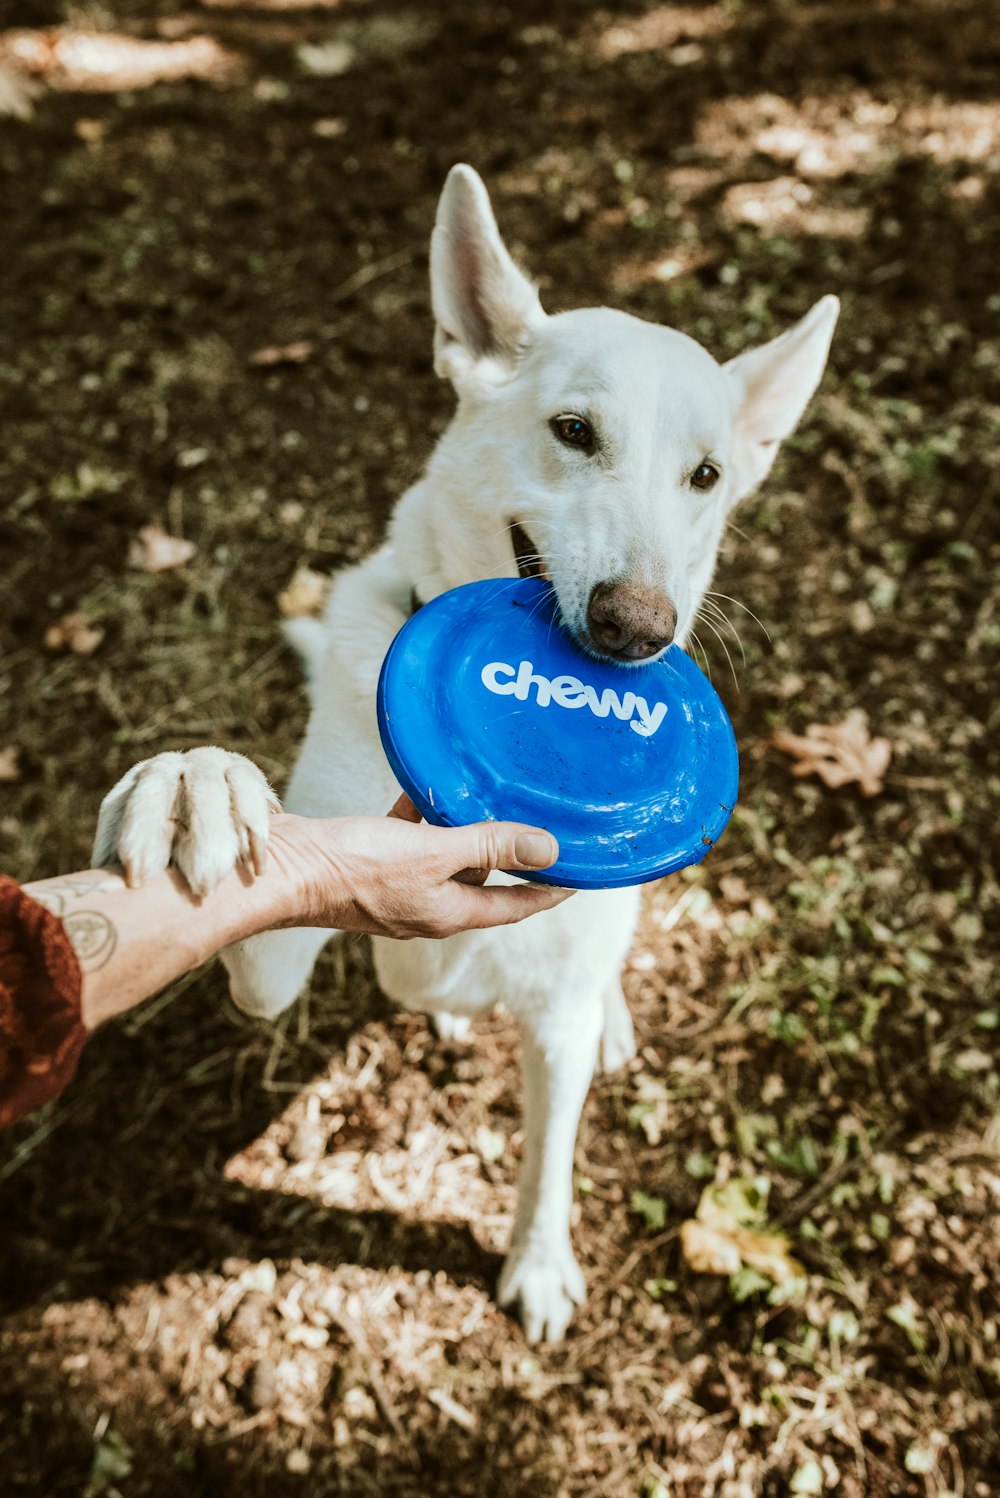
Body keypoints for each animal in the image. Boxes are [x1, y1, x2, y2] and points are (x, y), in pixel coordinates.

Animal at [97, 167, 838, 1348]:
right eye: (572, 430)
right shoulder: (302, 928)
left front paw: (538, 1264)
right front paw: (193, 787)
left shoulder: (554, 1018)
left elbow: (548, 1157)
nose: (638, 631)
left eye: (707, 475)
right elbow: (259, 930)